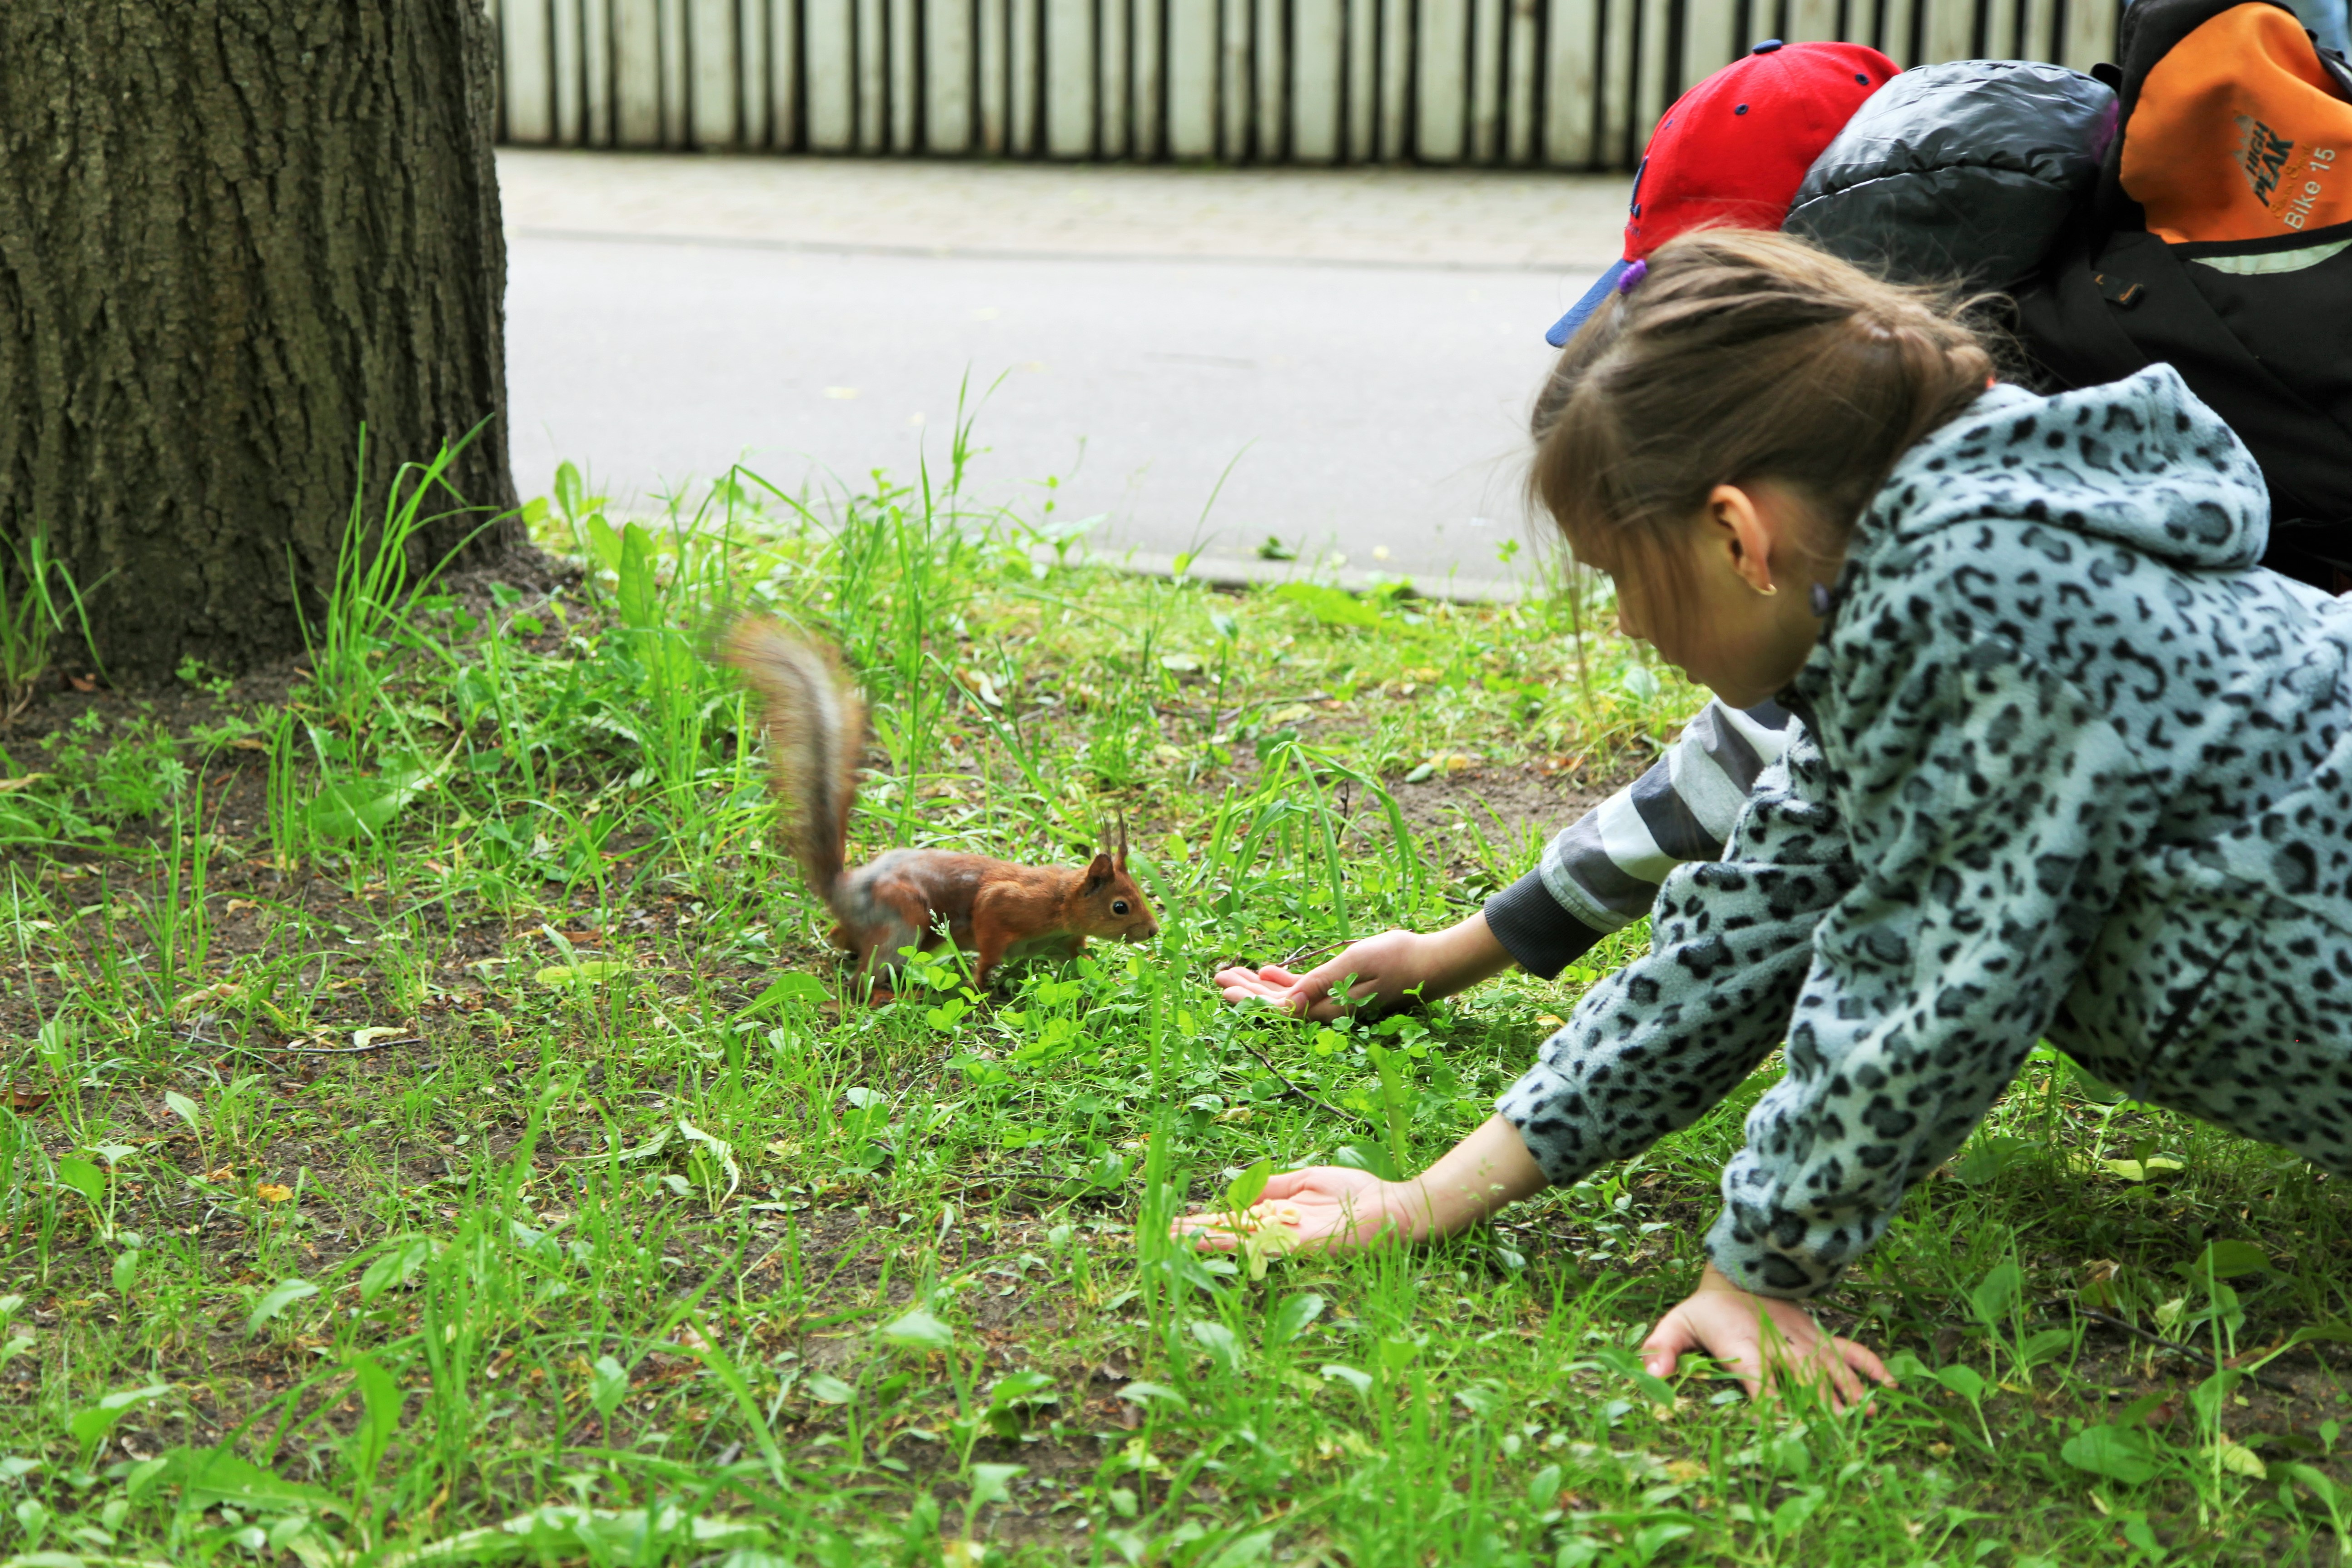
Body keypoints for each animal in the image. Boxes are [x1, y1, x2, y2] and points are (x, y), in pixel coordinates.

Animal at [715, 616, 1157, 992]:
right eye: (1120, 906)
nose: (1153, 930)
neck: (1061, 902)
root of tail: (844, 891)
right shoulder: (1002, 906)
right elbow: (988, 946)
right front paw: (979, 989)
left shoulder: (1062, 943)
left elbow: (1079, 960)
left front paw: (1106, 980)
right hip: (903, 920)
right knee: (863, 979)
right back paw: (882, 996)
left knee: (842, 941)